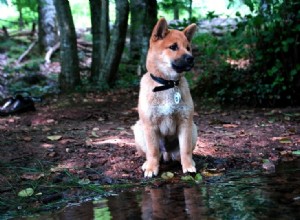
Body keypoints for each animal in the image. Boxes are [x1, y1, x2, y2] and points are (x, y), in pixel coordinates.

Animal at [132, 18, 198, 178]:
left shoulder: (185, 123)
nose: (191, 58)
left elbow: (185, 149)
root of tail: (167, 154)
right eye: (173, 47)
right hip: (139, 130)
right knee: (152, 154)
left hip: (193, 128)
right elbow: (153, 151)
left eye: (188, 48)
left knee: (180, 153)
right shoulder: (150, 126)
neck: (167, 84)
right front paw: (151, 168)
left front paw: (188, 166)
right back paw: (147, 164)